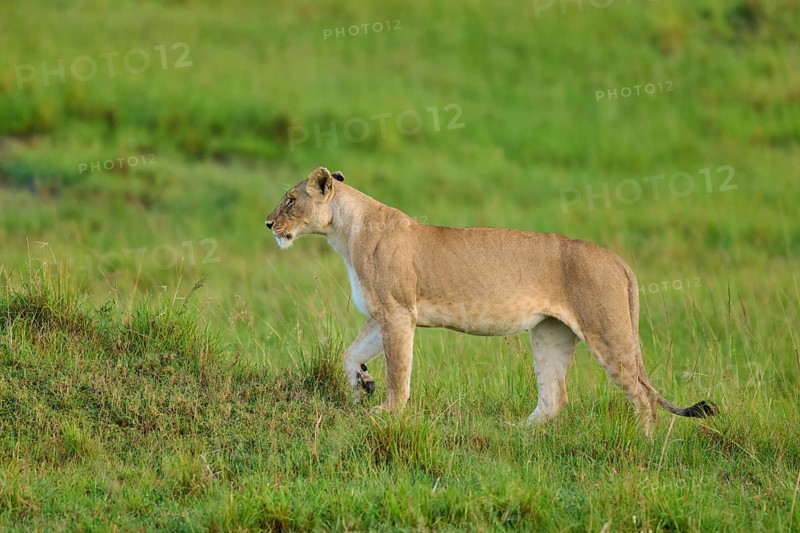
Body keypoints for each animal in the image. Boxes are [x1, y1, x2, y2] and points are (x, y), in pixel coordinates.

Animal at [265, 167, 717, 434]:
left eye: (290, 199)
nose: (268, 223)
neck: (344, 232)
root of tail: (620, 262)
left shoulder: (397, 313)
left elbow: (399, 372)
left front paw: (388, 413)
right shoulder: (381, 314)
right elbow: (350, 353)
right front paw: (362, 385)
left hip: (607, 331)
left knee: (643, 396)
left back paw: (644, 445)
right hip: (550, 334)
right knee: (554, 398)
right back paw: (517, 435)